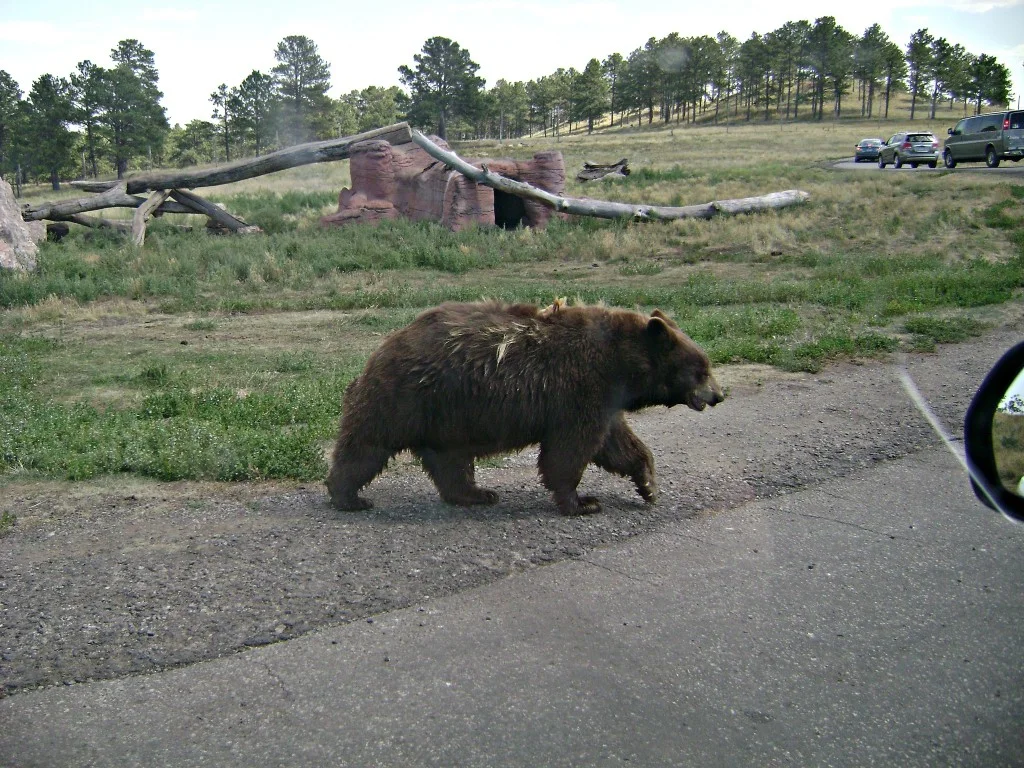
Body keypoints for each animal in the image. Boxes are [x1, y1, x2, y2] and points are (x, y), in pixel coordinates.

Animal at [325, 301, 720, 518]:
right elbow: (570, 450)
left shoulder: (606, 401)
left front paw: (649, 485)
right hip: (406, 398)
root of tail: (384, 346)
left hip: (448, 418)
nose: (718, 395)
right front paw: (582, 502)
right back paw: (348, 496)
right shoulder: (581, 388)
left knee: (450, 462)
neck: (621, 362)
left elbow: (617, 445)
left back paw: (477, 494)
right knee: (367, 445)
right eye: (701, 369)